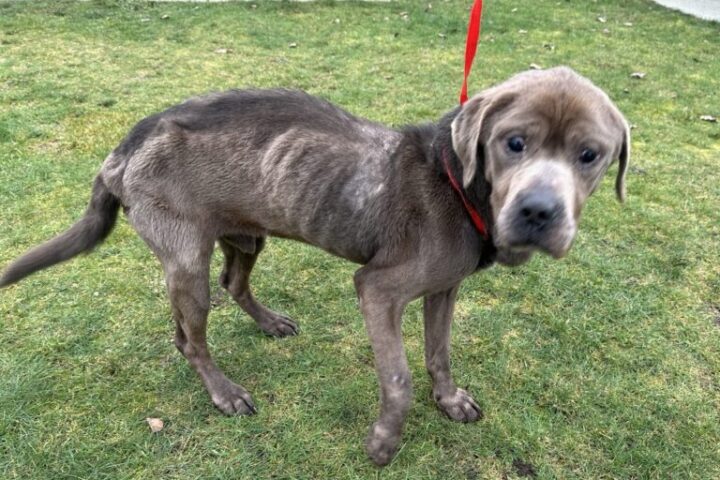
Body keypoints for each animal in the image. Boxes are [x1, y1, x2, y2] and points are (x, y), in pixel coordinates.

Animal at [0, 66, 628, 464]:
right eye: (513, 143)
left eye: (589, 155)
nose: (539, 211)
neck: (457, 185)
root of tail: (123, 148)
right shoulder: (378, 290)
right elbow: (398, 379)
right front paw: (383, 444)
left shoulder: (444, 289)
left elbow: (439, 354)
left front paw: (449, 400)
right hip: (185, 260)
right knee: (192, 336)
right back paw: (224, 392)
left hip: (244, 236)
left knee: (230, 284)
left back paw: (269, 322)